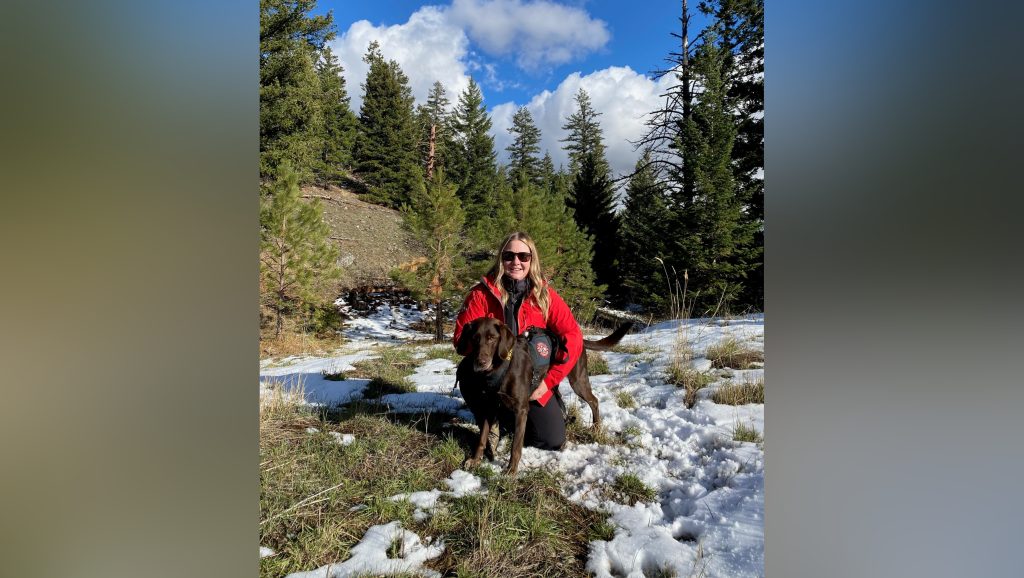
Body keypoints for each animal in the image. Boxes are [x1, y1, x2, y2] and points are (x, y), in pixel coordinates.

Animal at [458, 317, 630, 475]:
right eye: (474, 338)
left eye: (492, 338)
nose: (480, 363)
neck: (498, 369)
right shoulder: (489, 407)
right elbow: (482, 438)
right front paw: (475, 460)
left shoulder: (521, 410)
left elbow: (516, 446)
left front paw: (511, 470)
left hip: (578, 380)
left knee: (594, 401)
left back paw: (596, 428)